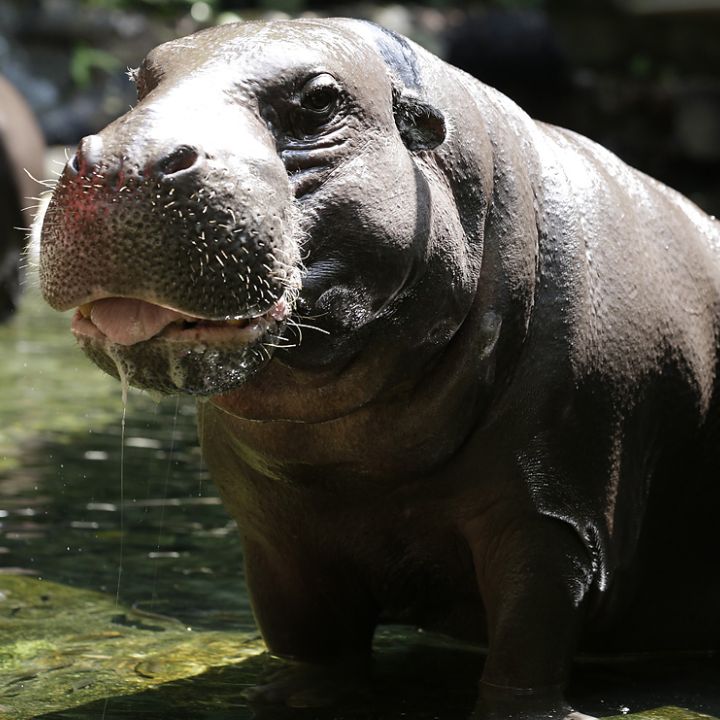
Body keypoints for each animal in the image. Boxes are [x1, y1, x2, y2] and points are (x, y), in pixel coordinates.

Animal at [38, 18, 720, 718]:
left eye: (319, 99)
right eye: (139, 80)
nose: (121, 164)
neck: (349, 456)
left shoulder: (553, 519)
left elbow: (528, 640)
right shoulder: (273, 536)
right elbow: (310, 639)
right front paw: (295, 698)